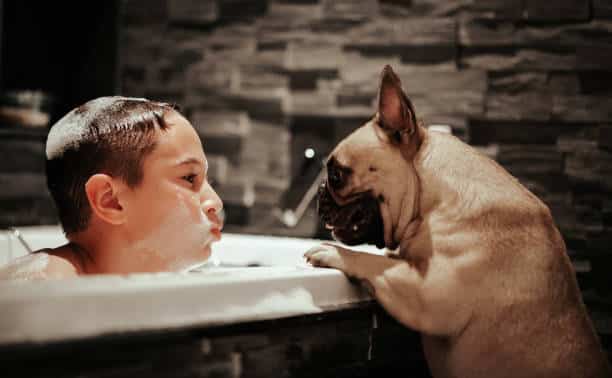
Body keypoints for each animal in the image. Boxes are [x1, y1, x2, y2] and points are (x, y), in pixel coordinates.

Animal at [304, 65, 608, 378]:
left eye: (336, 175)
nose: (320, 192)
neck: (430, 199)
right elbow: (387, 257)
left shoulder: (424, 291)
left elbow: (371, 261)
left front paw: (331, 251)